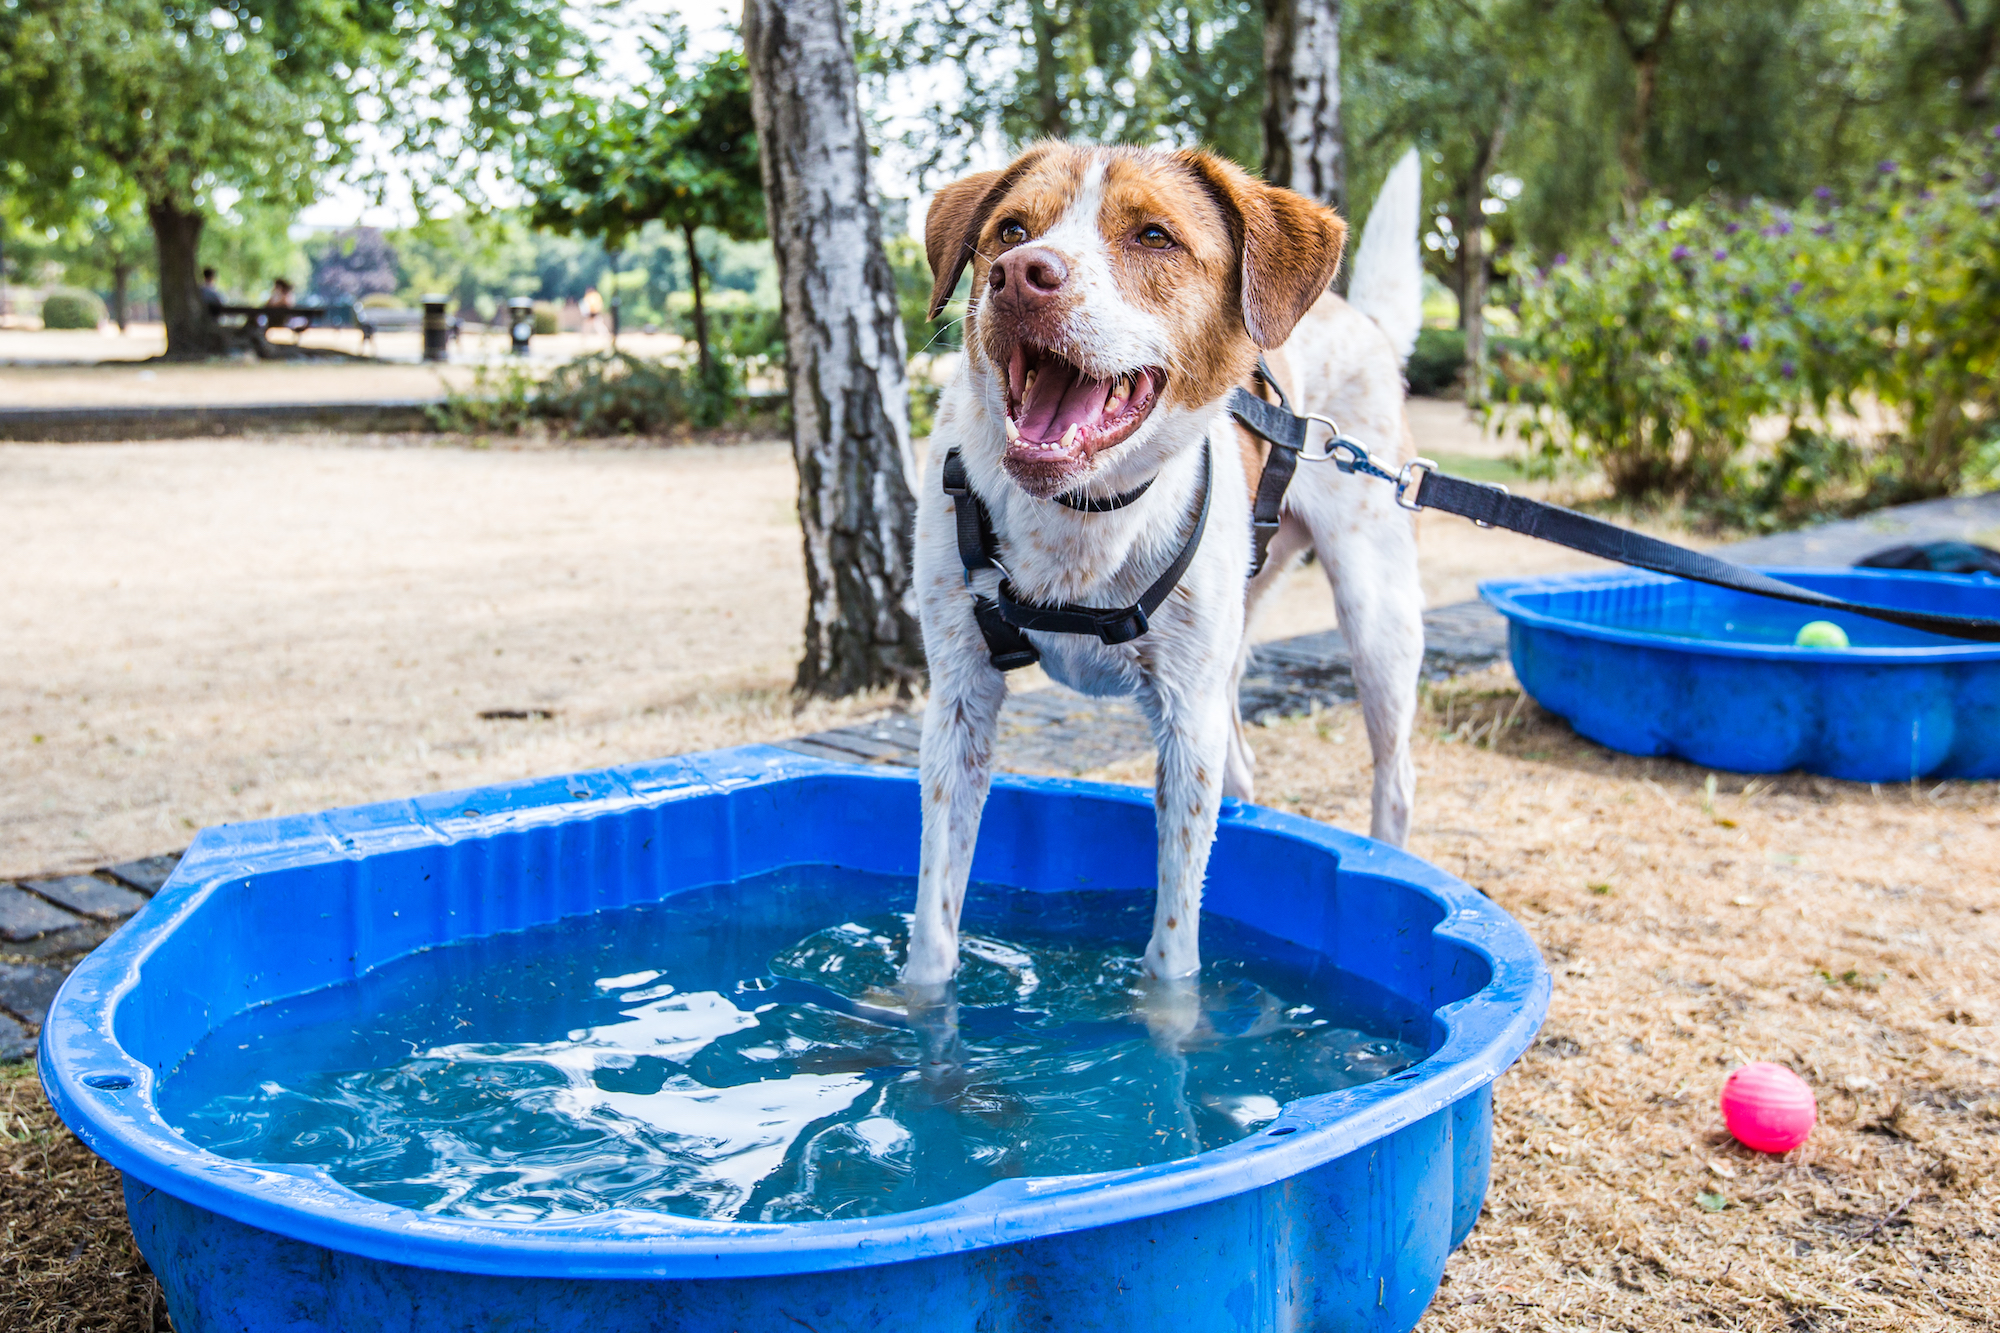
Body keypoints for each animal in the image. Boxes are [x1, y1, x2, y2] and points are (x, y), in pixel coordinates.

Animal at [900, 143, 1432, 984]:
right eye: (1010, 229)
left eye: (1154, 236)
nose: (1020, 273)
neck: (1080, 517)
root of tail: (1361, 318)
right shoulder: (960, 695)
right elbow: (934, 920)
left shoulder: (1186, 718)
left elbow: (1174, 942)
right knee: (1242, 761)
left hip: (1375, 613)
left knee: (1395, 778)